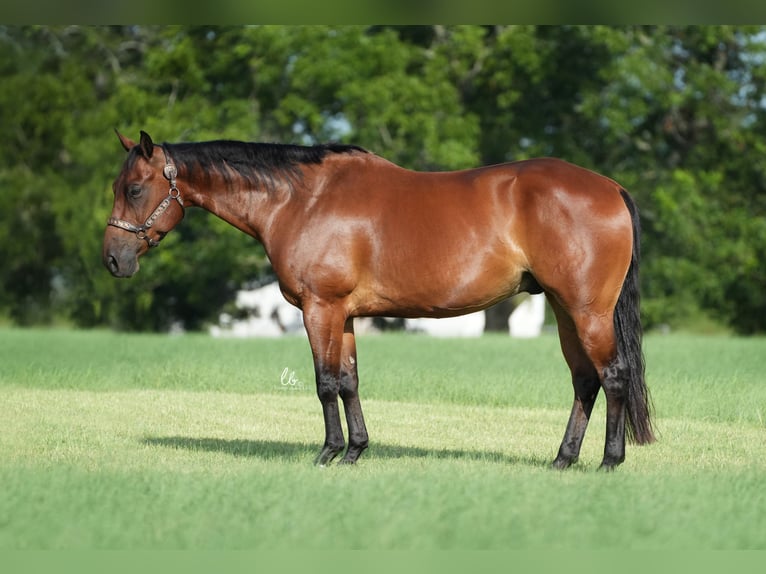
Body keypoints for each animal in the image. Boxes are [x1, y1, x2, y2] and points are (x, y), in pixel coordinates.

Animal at [100, 130, 656, 472]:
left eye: (134, 188)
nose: (112, 259)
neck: (302, 200)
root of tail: (610, 187)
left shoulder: (320, 308)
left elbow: (325, 382)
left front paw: (326, 453)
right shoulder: (344, 315)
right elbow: (349, 381)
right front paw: (355, 452)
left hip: (587, 312)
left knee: (613, 376)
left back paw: (609, 461)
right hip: (564, 312)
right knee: (584, 381)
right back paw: (563, 459)